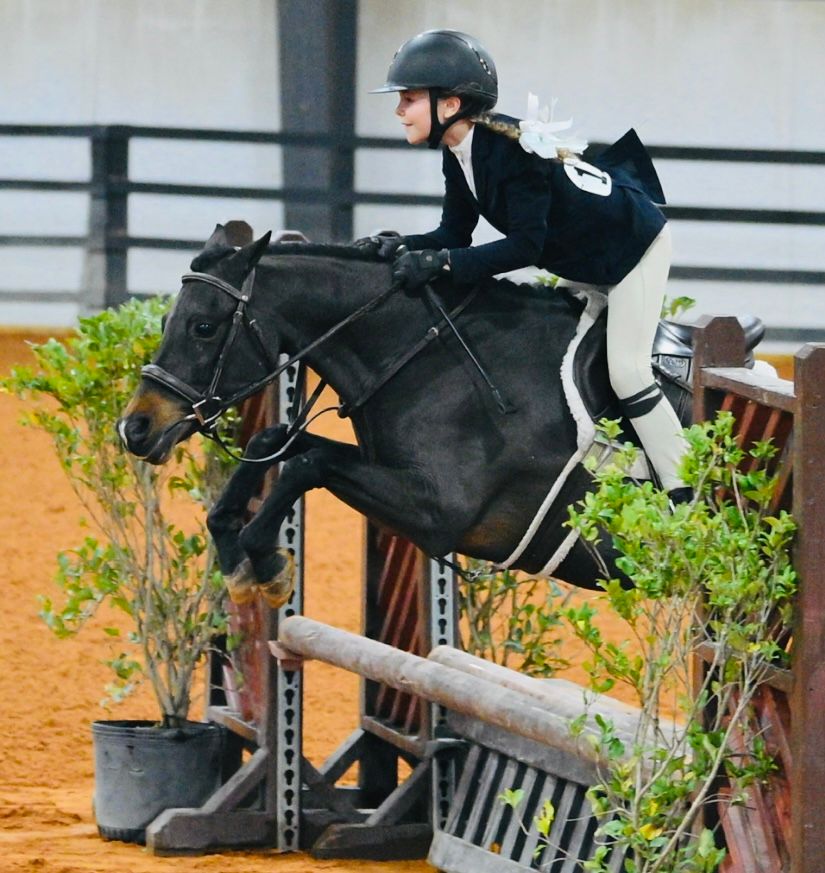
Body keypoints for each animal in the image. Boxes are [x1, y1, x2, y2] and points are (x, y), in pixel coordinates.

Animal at [118, 224, 757, 608]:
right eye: (165, 321)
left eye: (204, 327)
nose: (135, 428)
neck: (429, 355)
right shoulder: (389, 470)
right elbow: (281, 442)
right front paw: (235, 553)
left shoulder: (439, 511)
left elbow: (305, 466)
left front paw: (266, 563)